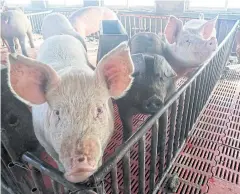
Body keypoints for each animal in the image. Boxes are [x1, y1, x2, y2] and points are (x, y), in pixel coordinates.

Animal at [7, 35, 135, 183]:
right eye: (57, 113)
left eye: (99, 110)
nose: (80, 165)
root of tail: (59, 35)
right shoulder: (43, 140)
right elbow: (56, 159)